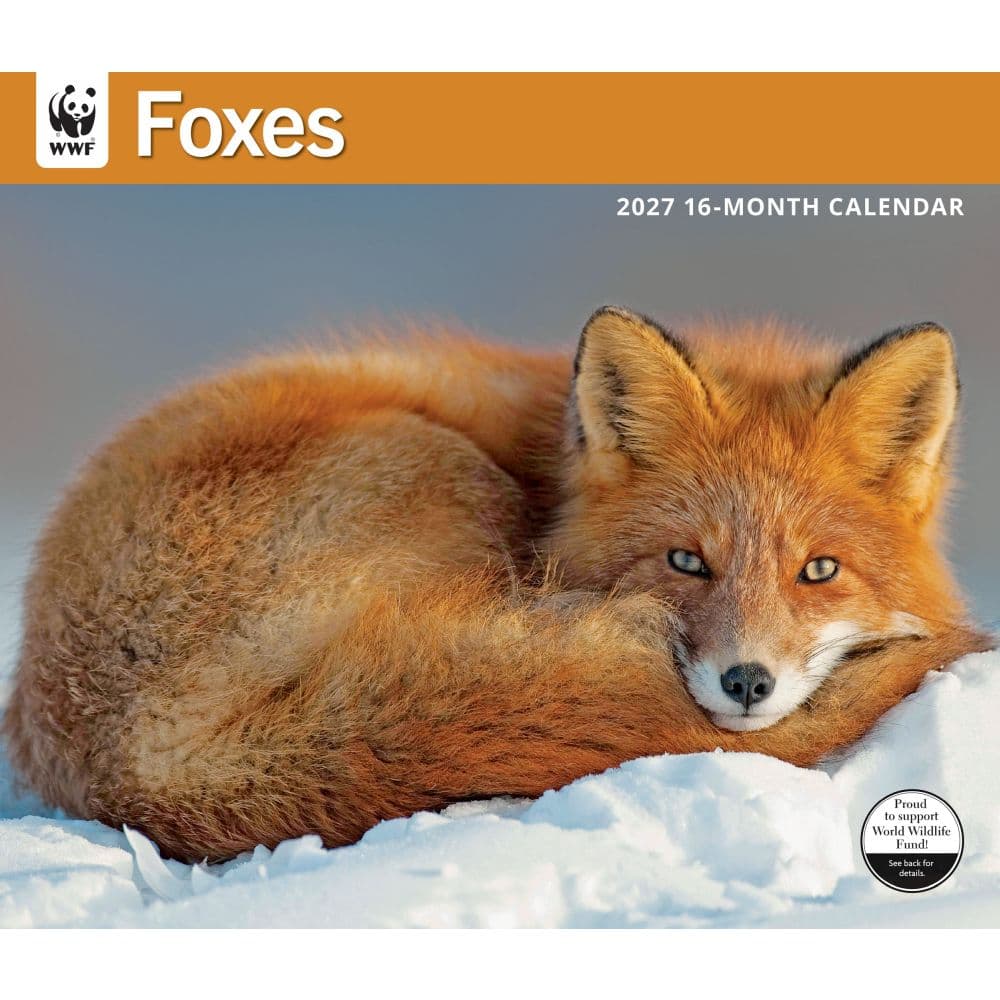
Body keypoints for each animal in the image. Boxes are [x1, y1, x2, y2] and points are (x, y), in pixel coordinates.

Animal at [3, 307, 992, 862]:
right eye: (687, 562)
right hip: (448, 469)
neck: (549, 472)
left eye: (818, 570)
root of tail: (140, 763)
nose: (747, 682)